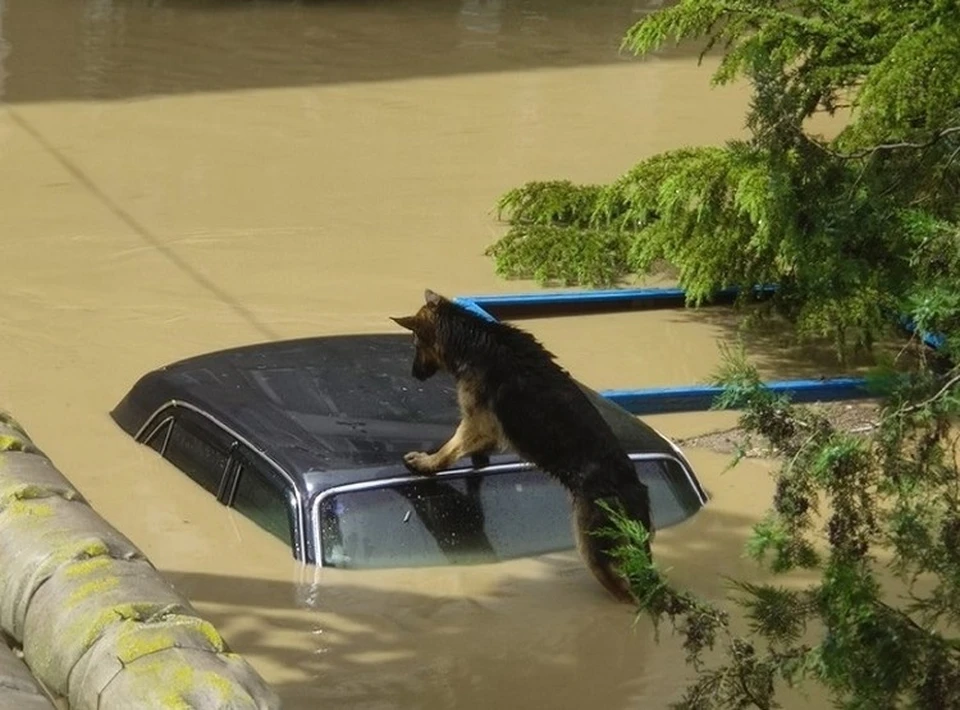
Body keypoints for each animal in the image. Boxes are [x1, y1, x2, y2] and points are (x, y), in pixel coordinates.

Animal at [390, 290, 652, 608]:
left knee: (625, 591)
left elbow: (450, 448)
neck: (472, 335)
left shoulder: (475, 420)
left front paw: (426, 463)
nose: (414, 374)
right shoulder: (485, 426)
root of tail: (633, 488)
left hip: (593, 547)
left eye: (416, 345)